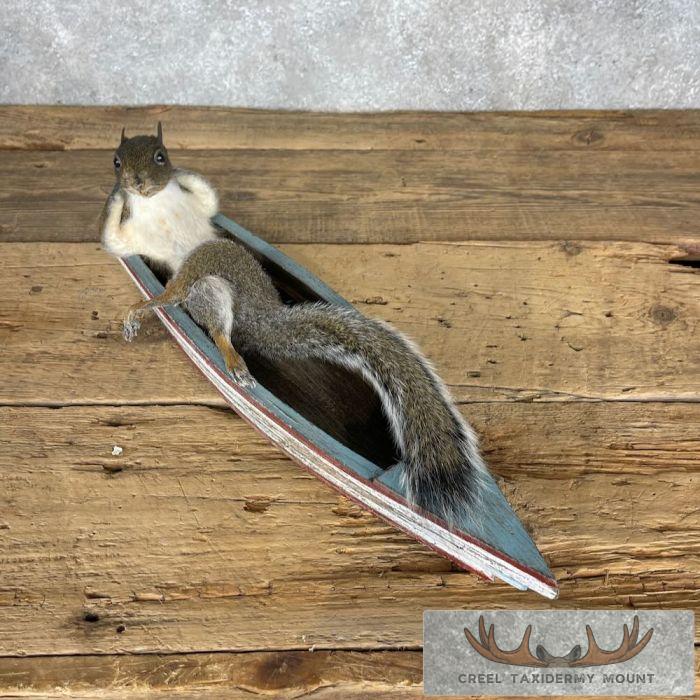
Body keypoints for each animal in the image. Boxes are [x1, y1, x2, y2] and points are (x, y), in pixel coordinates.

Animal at [101, 124, 489, 523]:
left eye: (161, 156)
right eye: (116, 161)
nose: (136, 182)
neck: (155, 203)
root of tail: (263, 317)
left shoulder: (198, 206)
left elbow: (206, 197)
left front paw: (171, 177)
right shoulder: (133, 238)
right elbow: (114, 241)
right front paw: (116, 196)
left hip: (220, 267)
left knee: (208, 304)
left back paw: (214, 345)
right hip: (205, 287)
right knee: (199, 306)